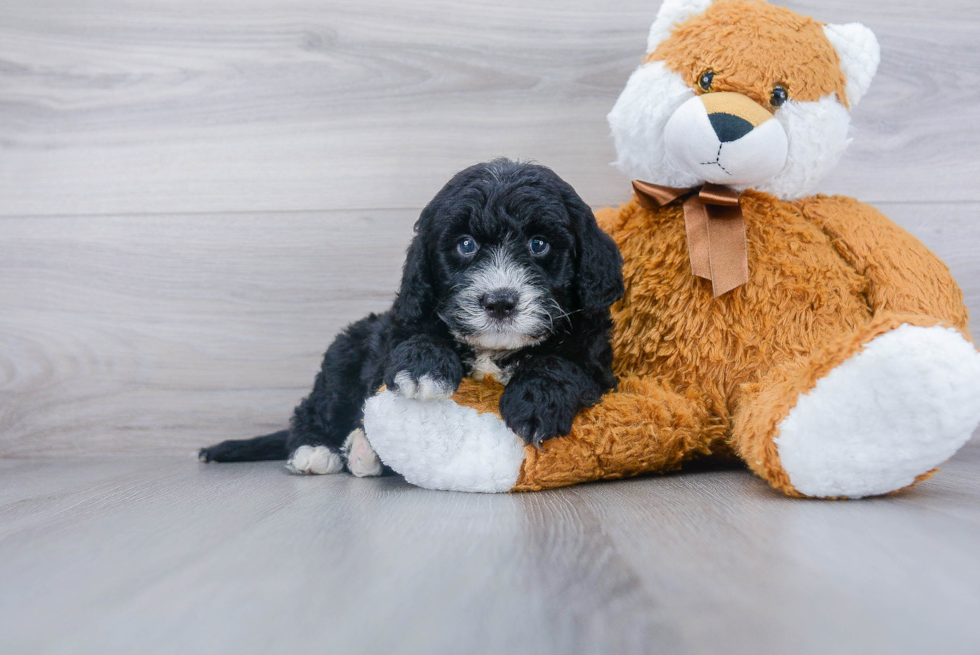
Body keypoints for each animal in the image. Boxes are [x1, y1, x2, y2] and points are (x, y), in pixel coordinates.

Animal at [200, 159, 624, 476]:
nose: (500, 302)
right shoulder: (397, 329)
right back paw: (317, 450)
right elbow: (415, 337)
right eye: (465, 245)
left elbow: (561, 363)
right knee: (315, 407)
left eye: (539, 245)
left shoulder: (599, 365)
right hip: (343, 354)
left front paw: (534, 403)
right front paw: (423, 367)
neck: (493, 350)